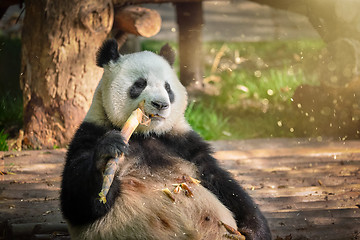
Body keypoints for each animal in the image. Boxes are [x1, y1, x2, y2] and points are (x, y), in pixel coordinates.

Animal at [60, 38, 272, 239]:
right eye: (140, 84)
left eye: (168, 88)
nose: (160, 104)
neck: (144, 134)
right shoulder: (90, 133)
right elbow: (77, 204)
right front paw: (108, 154)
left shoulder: (181, 141)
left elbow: (220, 180)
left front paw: (255, 230)